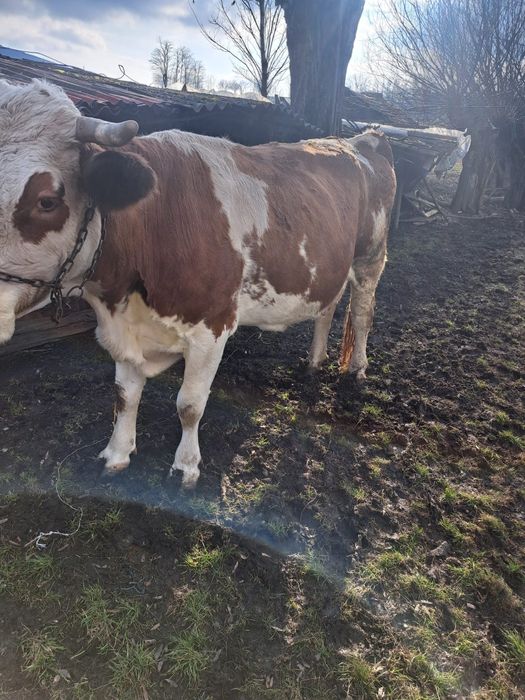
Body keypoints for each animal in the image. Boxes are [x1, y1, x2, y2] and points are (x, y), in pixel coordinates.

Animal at [0, 80, 396, 487]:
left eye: (47, 201)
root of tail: (362, 138)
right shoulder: (126, 327)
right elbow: (125, 396)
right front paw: (117, 453)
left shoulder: (212, 328)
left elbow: (189, 404)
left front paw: (186, 466)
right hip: (329, 267)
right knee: (327, 307)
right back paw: (315, 361)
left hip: (370, 256)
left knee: (362, 312)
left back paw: (357, 369)